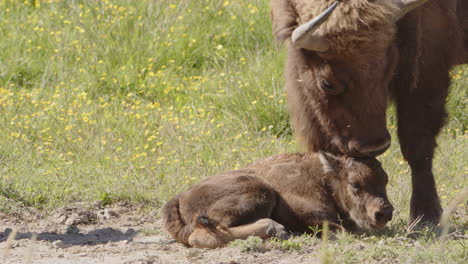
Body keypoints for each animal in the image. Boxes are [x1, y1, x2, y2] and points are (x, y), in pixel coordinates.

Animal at [163, 152, 394, 249]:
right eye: (355, 184)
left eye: (385, 179)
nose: (384, 212)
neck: (323, 178)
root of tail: (180, 197)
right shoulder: (314, 217)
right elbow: (343, 230)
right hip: (258, 190)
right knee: (202, 234)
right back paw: (276, 229)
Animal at [270, 0, 468, 224]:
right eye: (327, 83)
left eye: (389, 69)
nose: (374, 146)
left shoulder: (426, 73)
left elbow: (417, 146)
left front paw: (425, 216)